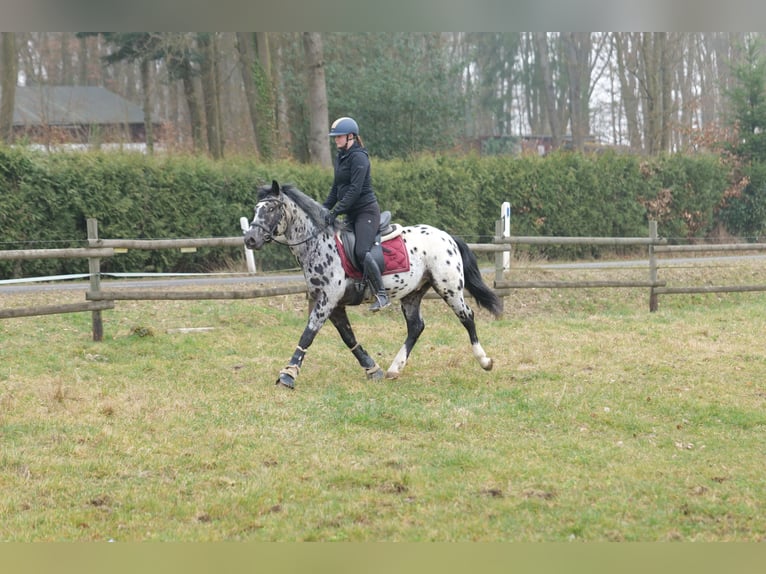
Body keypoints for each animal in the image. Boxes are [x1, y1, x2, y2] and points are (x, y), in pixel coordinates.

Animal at [244, 182, 504, 390]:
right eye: (256, 209)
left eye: (270, 208)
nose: (250, 239)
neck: (318, 243)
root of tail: (447, 236)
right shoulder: (333, 304)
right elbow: (348, 337)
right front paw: (373, 369)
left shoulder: (327, 300)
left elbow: (308, 334)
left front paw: (287, 376)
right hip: (412, 293)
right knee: (416, 327)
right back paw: (394, 369)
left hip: (449, 288)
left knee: (467, 316)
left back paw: (485, 361)